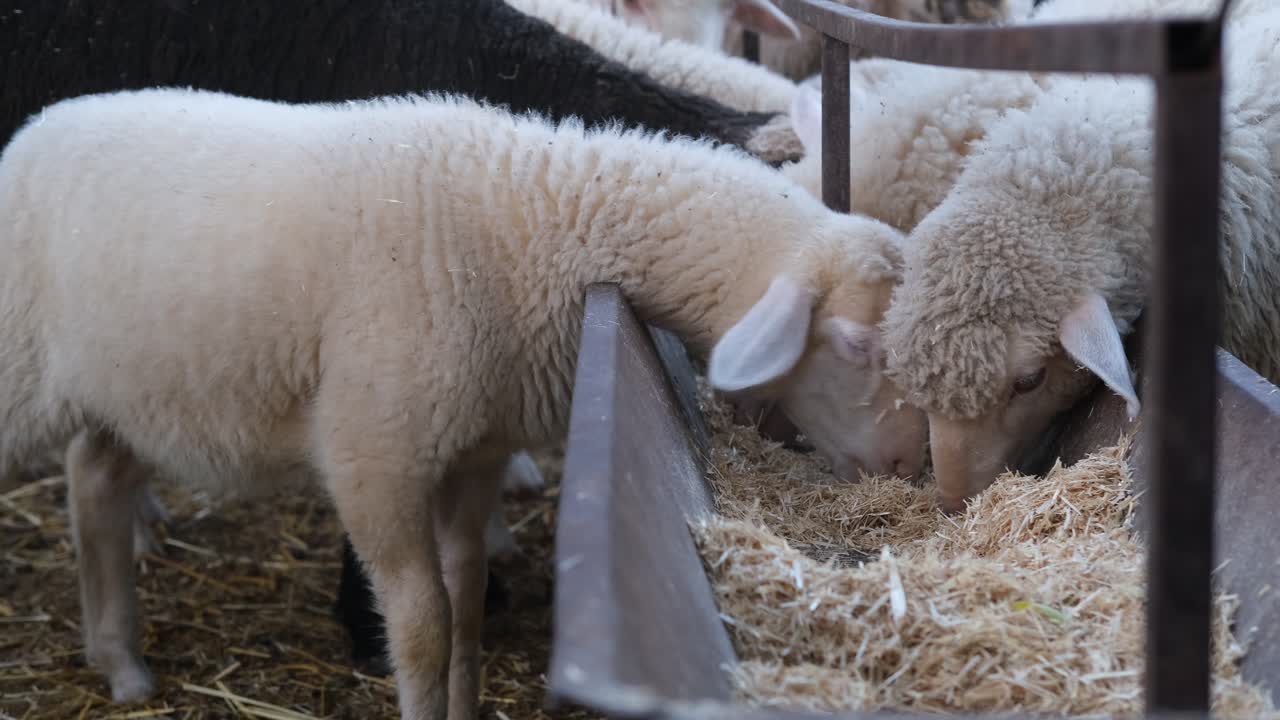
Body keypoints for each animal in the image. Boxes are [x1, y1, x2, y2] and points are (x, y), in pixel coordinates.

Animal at [0, 86, 928, 717]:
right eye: (856, 345)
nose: (904, 462)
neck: (535, 223)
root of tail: (33, 128)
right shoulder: (376, 455)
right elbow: (421, 624)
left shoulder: (474, 450)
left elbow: (468, 599)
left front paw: (466, 698)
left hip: (131, 389)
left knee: (93, 480)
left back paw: (119, 661)